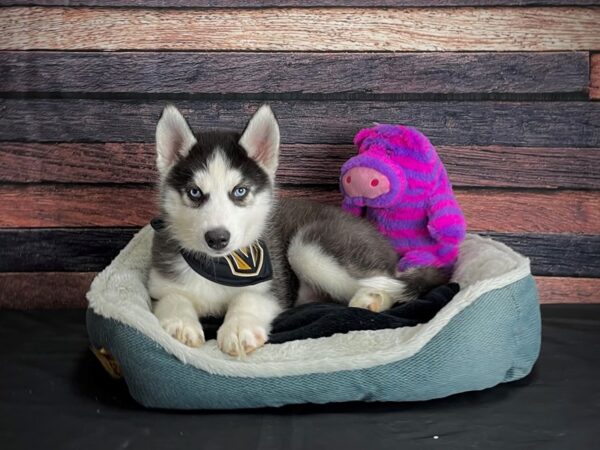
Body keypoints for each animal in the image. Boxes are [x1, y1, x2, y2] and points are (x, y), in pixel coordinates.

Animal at [150, 103, 450, 356]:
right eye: (194, 193)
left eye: (240, 191)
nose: (217, 239)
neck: (219, 266)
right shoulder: (159, 285)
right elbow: (171, 298)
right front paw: (181, 325)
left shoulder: (274, 285)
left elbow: (248, 298)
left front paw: (238, 328)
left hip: (308, 248)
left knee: (387, 279)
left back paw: (370, 298)